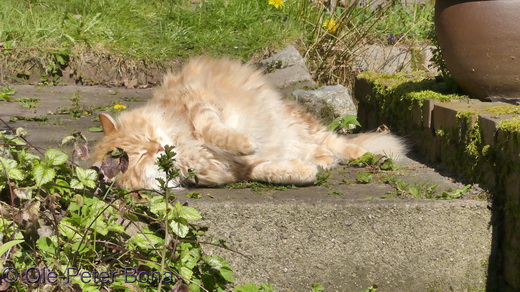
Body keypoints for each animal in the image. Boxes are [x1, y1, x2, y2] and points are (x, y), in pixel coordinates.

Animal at [92, 57, 406, 189]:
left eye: (147, 137)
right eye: (140, 157)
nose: (158, 147)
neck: (186, 151)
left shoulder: (201, 105)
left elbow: (214, 131)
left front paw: (245, 142)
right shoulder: (238, 171)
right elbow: (269, 171)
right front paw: (302, 172)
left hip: (301, 124)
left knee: (340, 143)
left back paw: (366, 155)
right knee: (319, 150)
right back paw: (322, 160)